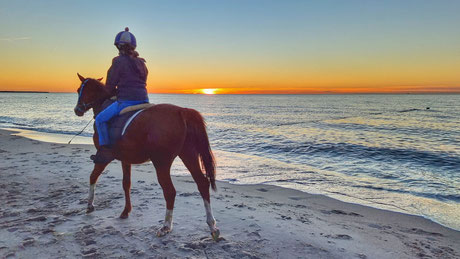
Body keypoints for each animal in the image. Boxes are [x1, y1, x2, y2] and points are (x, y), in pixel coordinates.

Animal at [73, 72, 220, 240]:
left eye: (84, 90)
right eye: (78, 90)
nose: (77, 110)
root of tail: (181, 111)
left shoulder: (103, 158)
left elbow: (93, 177)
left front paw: (90, 205)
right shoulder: (125, 159)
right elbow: (126, 183)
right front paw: (125, 211)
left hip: (161, 162)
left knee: (170, 191)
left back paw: (166, 226)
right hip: (188, 154)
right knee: (202, 183)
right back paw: (212, 226)